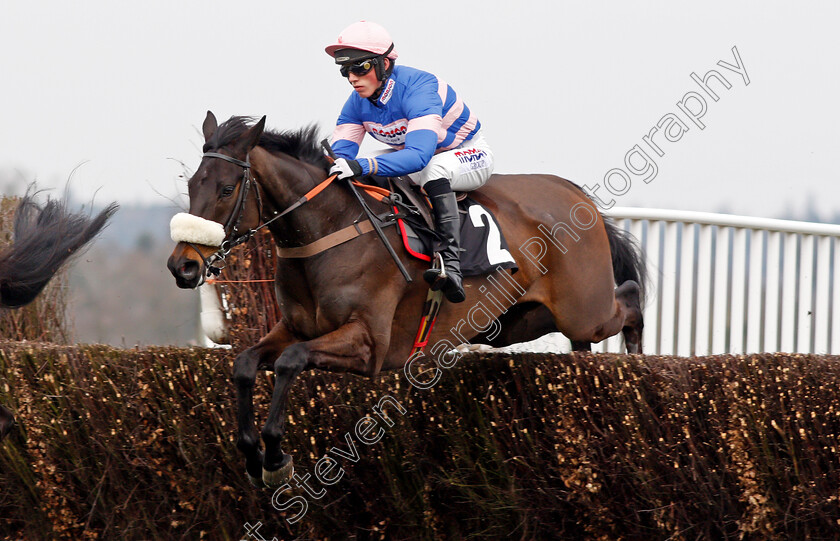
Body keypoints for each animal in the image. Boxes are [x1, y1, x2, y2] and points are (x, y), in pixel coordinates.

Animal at [167, 113, 648, 486]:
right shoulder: (294, 327)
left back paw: (637, 369)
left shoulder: (369, 345)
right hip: (515, 322)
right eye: (192, 184)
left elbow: (290, 361)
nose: (182, 266)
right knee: (584, 339)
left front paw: (275, 457)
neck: (331, 228)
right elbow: (246, 363)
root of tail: (576, 193)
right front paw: (254, 455)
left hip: (583, 308)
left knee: (630, 300)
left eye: (226, 188)